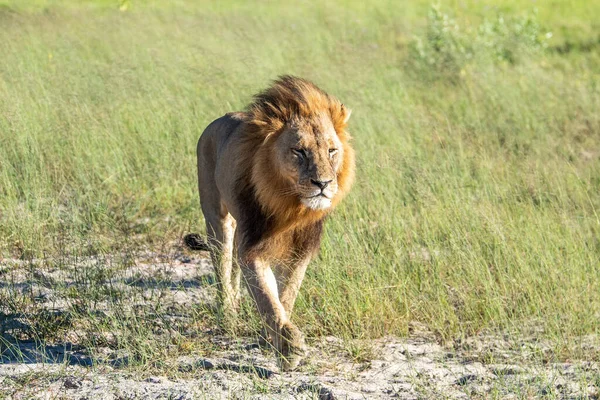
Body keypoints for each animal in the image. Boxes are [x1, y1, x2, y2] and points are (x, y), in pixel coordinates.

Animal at [185, 74, 354, 368]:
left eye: (332, 151)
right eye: (299, 151)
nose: (323, 183)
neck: (290, 206)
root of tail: (216, 121)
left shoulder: (299, 250)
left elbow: (286, 296)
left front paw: (272, 338)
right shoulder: (254, 247)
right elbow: (267, 297)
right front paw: (288, 347)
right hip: (217, 219)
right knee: (223, 267)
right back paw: (228, 316)